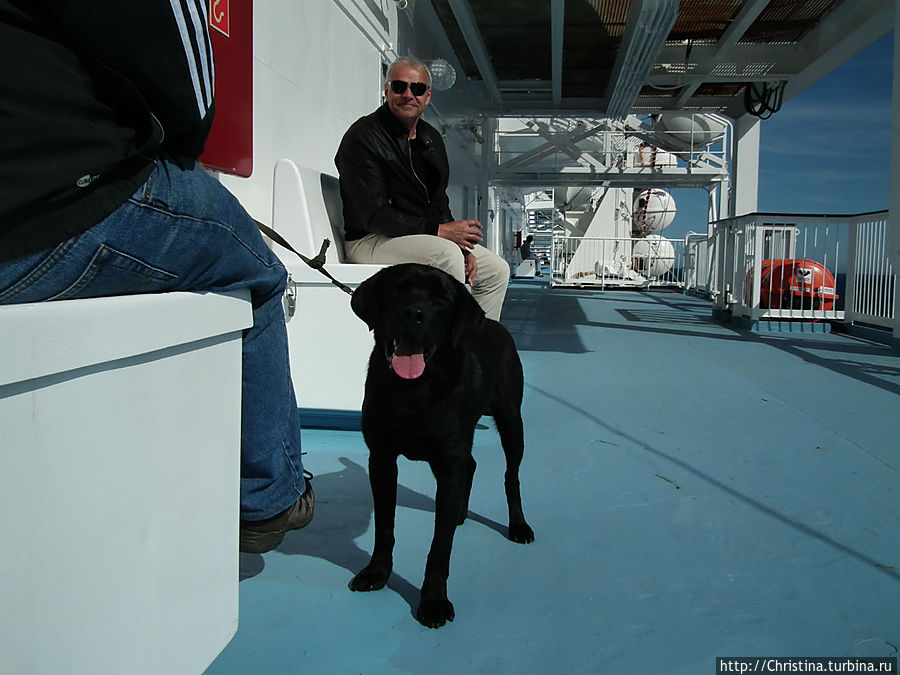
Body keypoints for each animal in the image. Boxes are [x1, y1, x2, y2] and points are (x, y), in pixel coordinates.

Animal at [350, 264, 536, 628]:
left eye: (441, 300)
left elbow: (440, 545)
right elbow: (384, 526)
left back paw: (518, 525)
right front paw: (377, 572)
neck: (414, 391)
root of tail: (494, 325)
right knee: (472, 464)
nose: (414, 314)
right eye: (397, 291)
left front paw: (433, 601)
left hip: (511, 421)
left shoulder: (448, 462)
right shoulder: (381, 459)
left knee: (511, 476)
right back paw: (461, 512)